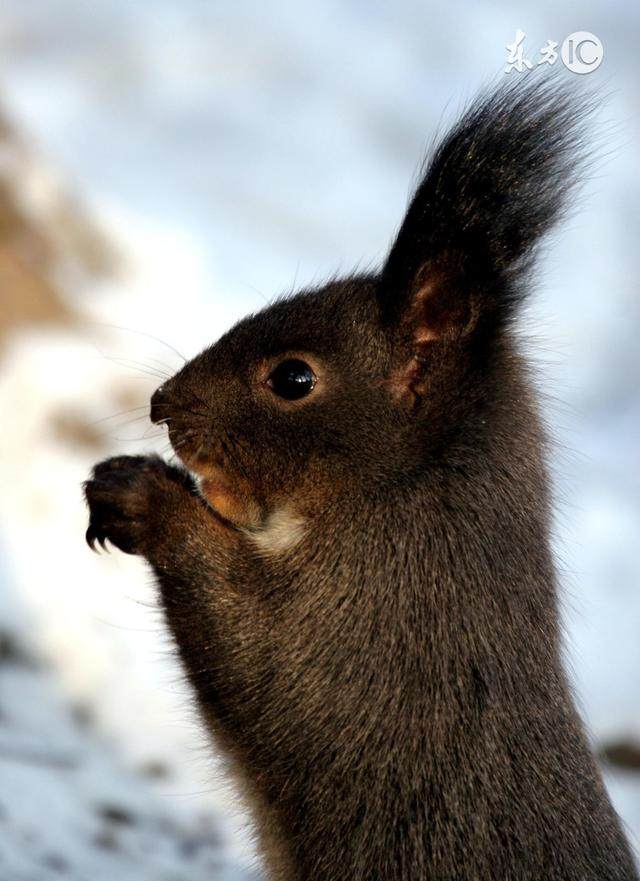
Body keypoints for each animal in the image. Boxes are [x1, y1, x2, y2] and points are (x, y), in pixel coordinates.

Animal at [82, 77, 636, 880]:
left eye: (294, 378)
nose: (161, 404)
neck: (404, 487)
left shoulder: (377, 612)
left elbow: (260, 653)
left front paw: (146, 498)